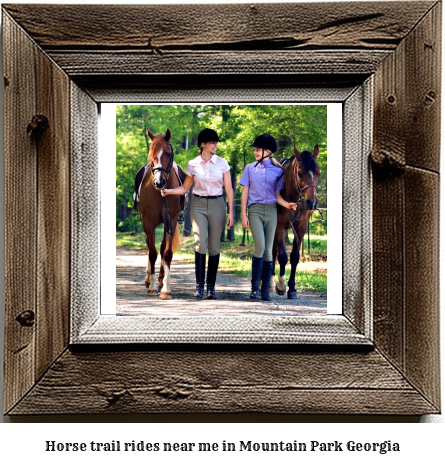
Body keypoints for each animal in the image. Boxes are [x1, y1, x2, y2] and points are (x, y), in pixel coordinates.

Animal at [138, 129, 181, 300]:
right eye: (152, 155)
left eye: (168, 154)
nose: (159, 182)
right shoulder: (148, 222)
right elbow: (152, 252)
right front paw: (152, 287)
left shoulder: (171, 220)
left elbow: (167, 252)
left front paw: (166, 289)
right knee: (150, 246)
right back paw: (148, 279)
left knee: (162, 248)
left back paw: (161, 280)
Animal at [268, 143, 320, 300]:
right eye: (299, 173)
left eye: (318, 173)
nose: (312, 202)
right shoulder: (279, 225)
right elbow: (283, 256)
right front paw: (281, 285)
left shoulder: (301, 227)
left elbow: (295, 257)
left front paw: (292, 289)